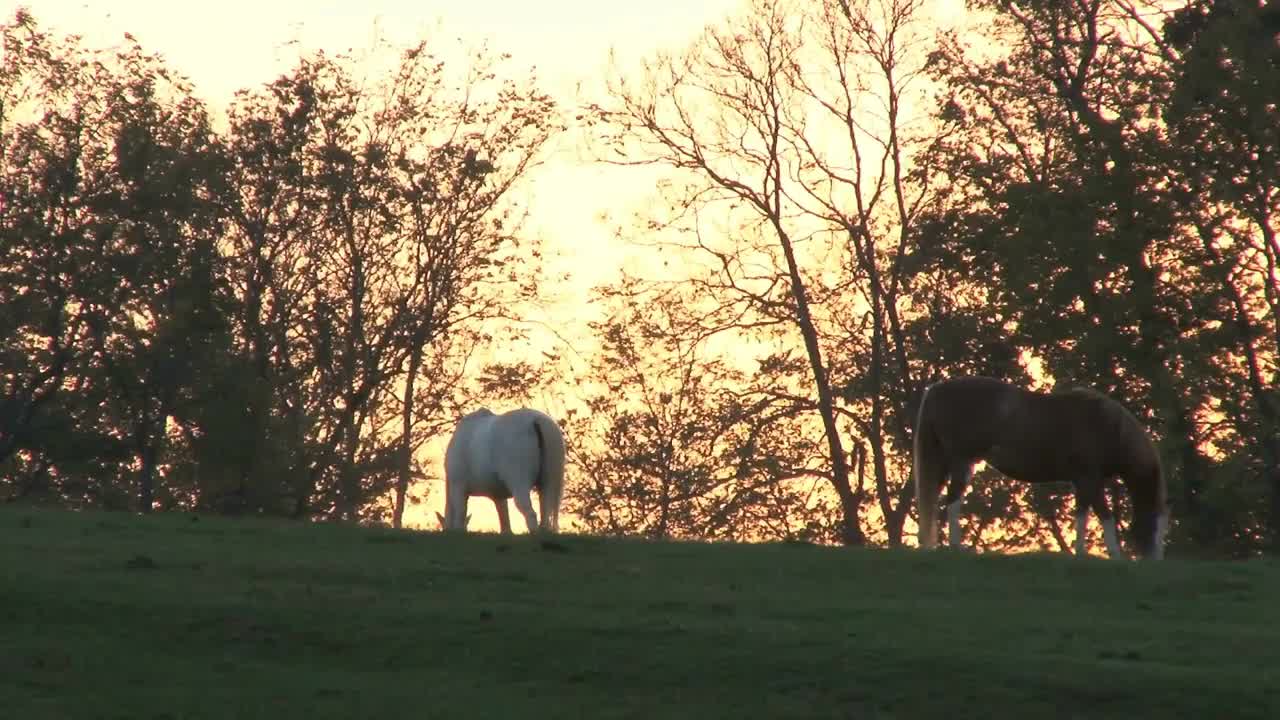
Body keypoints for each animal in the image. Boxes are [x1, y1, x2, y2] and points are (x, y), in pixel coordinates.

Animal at [435, 407, 565, 530]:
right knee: (545, 517)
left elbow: (459, 516)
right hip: (548, 484)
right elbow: (505, 524)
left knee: (530, 514)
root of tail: (537, 421)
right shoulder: (499, 496)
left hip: (520, 485)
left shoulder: (458, 488)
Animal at [911, 376, 1172, 561]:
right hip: (962, 461)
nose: (1155, 562)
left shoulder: (1082, 481)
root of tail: (937, 390)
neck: (1108, 427)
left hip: (946, 462)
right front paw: (1112, 555)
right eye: (1153, 525)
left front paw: (1083, 553)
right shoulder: (1090, 479)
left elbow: (1083, 514)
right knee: (953, 499)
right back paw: (956, 546)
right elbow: (1102, 514)